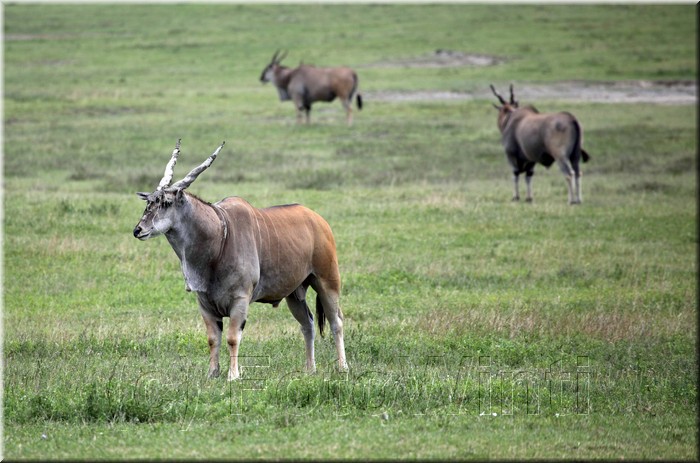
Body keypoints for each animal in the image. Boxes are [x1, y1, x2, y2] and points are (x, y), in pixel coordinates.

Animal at [133, 140, 348, 380]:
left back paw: (343, 367)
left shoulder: (240, 300)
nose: (138, 230)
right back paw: (310, 369)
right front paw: (212, 373)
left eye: (166, 202)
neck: (220, 236)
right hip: (294, 294)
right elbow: (213, 339)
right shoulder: (205, 304)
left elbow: (232, 338)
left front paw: (233, 375)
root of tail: (319, 220)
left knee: (336, 322)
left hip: (327, 282)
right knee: (308, 324)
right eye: (149, 202)